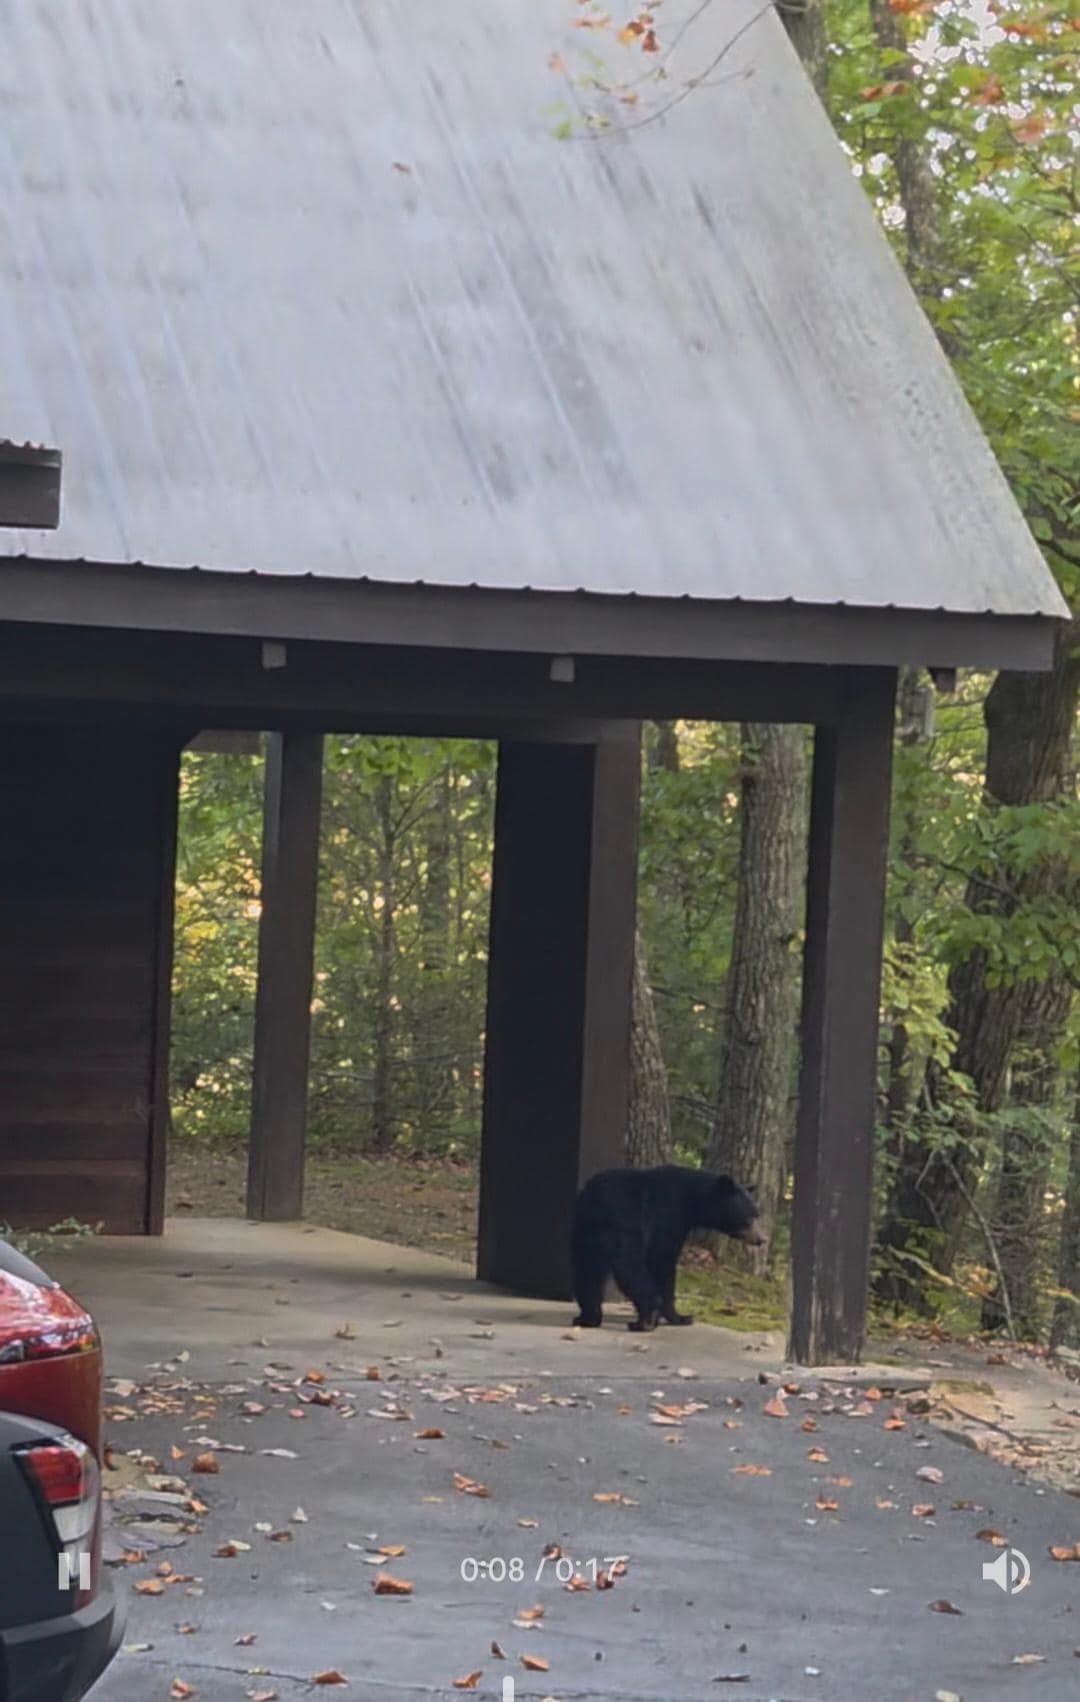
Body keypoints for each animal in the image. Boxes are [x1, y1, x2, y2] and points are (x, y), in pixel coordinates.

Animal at [570, 1165, 763, 1332]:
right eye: (749, 1217)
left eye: (757, 1214)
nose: (762, 1239)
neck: (693, 1202)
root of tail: (596, 1199)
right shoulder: (667, 1217)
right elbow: (662, 1262)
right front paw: (680, 1316)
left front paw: (680, 1316)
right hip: (623, 1225)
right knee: (629, 1267)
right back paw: (645, 1319)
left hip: (585, 1232)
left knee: (587, 1271)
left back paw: (588, 1318)